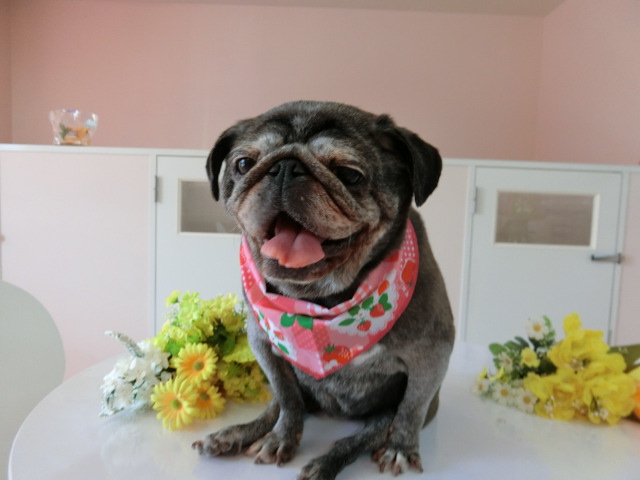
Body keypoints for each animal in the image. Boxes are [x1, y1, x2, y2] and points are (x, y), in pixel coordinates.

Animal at [193, 101, 455, 480]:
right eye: (243, 164)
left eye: (349, 174)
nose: (286, 167)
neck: (319, 300)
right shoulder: (264, 346)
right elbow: (287, 400)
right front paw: (280, 438)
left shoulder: (431, 358)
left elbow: (411, 409)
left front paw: (401, 449)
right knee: (280, 406)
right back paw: (235, 435)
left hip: (383, 414)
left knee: (367, 434)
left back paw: (326, 463)